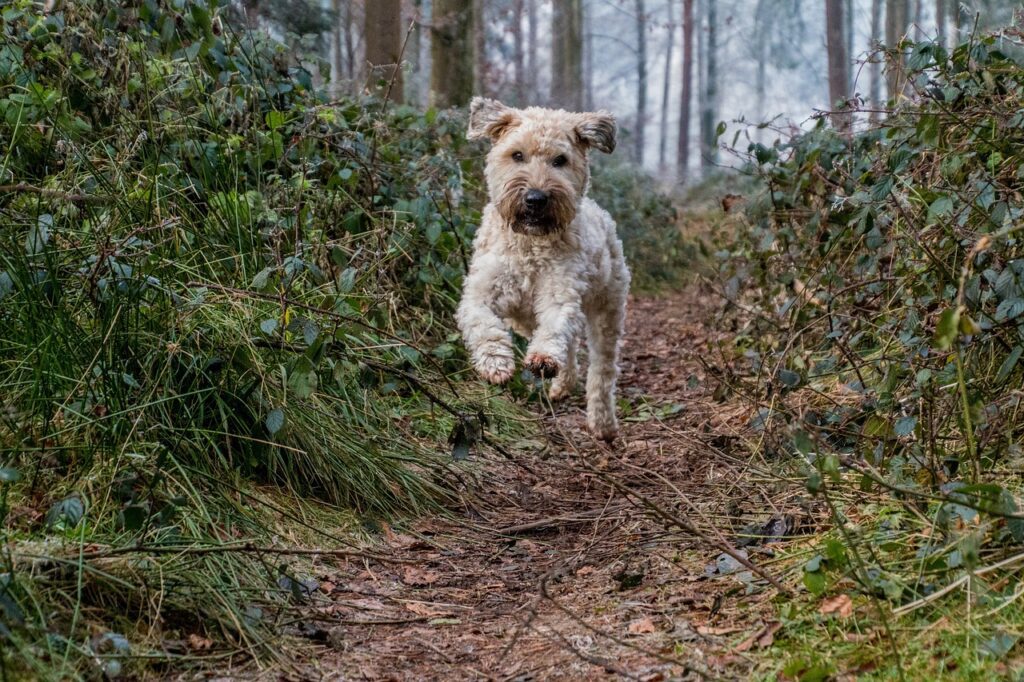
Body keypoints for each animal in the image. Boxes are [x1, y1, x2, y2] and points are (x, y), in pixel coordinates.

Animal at [458, 98, 630, 444]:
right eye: (517, 155)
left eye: (560, 160)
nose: (535, 198)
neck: (530, 246)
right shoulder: (481, 291)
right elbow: (482, 322)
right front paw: (495, 361)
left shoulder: (560, 292)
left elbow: (556, 327)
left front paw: (543, 358)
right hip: (523, 319)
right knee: (571, 346)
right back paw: (563, 384)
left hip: (608, 309)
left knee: (601, 370)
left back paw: (602, 421)